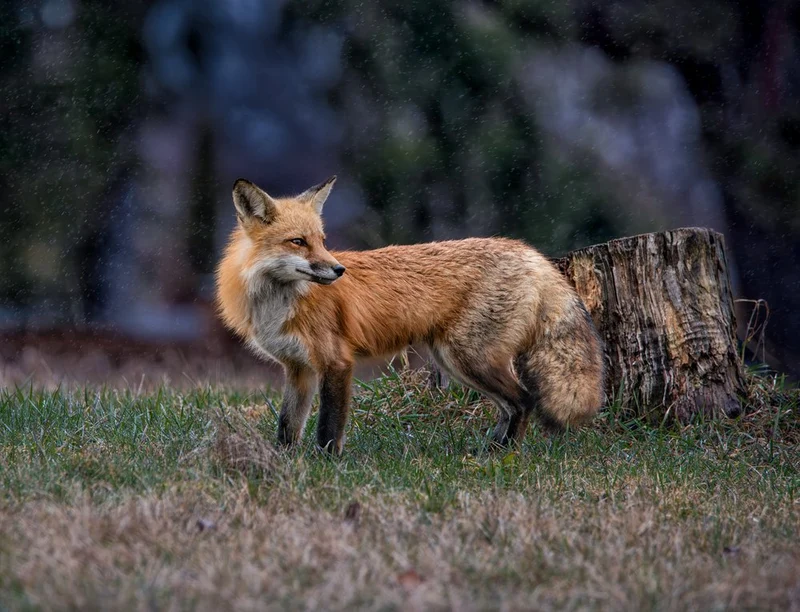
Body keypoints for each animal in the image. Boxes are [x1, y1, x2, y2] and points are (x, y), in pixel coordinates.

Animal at [216, 176, 605, 455]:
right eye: (298, 241)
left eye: (322, 240)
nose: (339, 270)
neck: (278, 302)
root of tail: (528, 251)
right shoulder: (298, 369)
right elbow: (286, 426)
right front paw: (283, 461)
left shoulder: (336, 362)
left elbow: (328, 428)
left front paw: (324, 465)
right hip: (454, 362)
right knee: (511, 407)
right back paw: (489, 452)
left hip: (466, 358)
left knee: (524, 400)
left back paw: (502, 456)